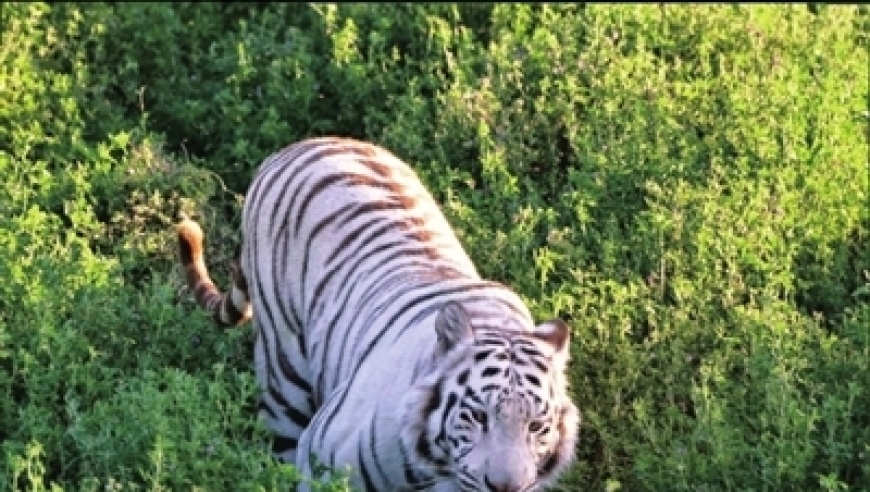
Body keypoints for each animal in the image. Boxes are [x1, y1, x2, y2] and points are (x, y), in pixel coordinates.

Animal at [177, 136, 584, 490]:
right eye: (478, 416)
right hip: (284, 382)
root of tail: (299, 147)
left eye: (536, 426)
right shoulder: (319, 458)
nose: (505, 487)